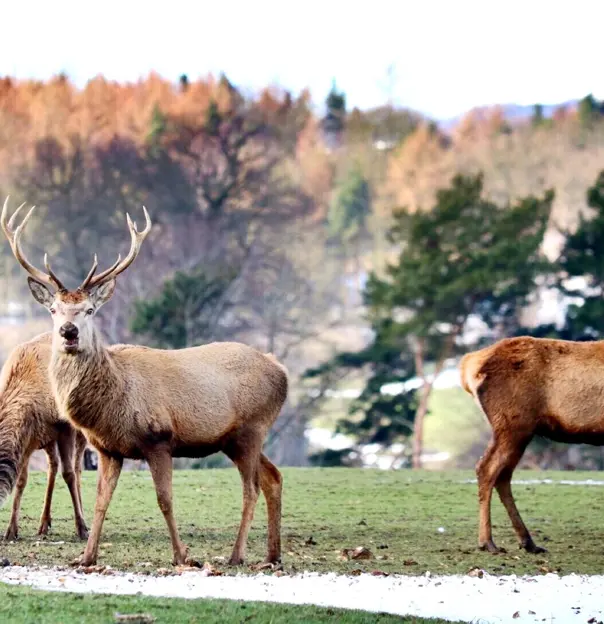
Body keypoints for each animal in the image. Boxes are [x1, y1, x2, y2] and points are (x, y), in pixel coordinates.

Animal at [0, 332, 88, 540]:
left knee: (77, 467)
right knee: (52, 467)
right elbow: (21, 481)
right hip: (46, 438)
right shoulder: (26, 442)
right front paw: (11, 530)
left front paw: (81, 528)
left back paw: (84, 519)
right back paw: (44, 522)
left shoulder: (65, 427)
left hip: (81, 430)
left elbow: (69, 474)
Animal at [460, 336, 604, 556]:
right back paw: (488, 542)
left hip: (516, 430)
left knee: (502, 475)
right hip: (513, 425)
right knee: (487, 468)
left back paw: (528, 542)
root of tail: (470, 364)